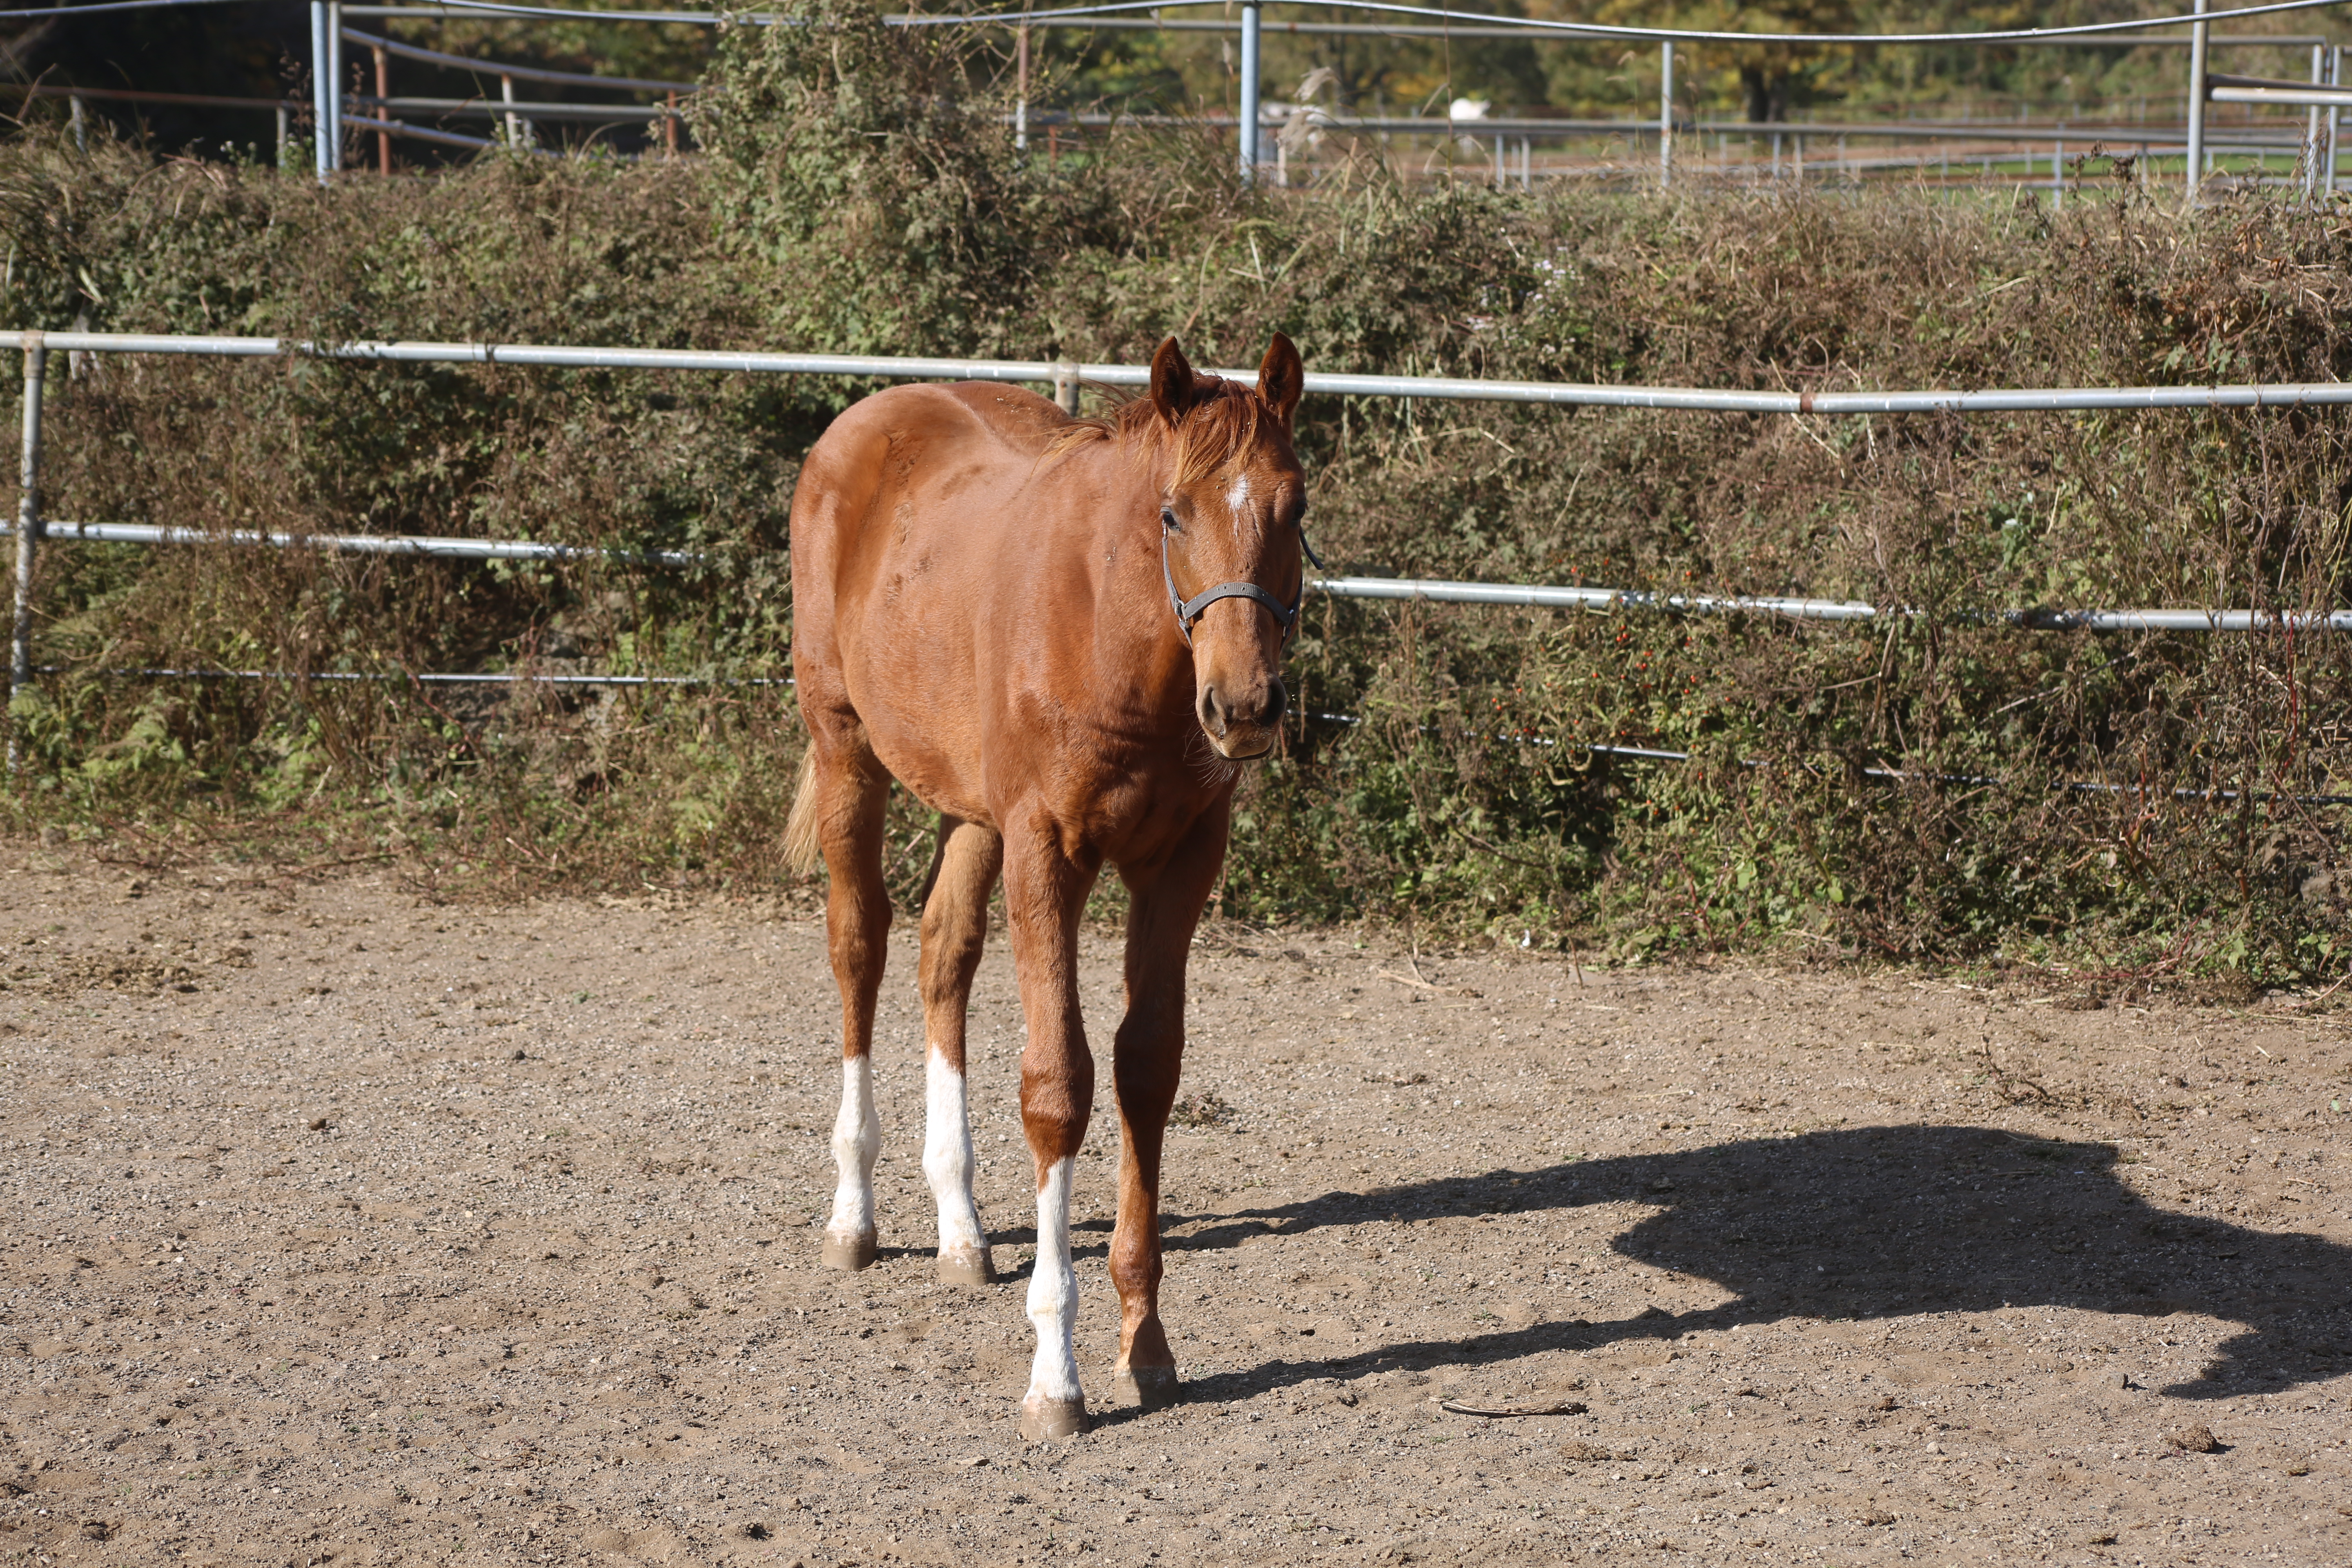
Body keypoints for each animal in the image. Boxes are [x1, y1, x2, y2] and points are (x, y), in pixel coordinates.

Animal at [785, 339, 1307, 1439]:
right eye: (1172, 512)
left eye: (1294, 505)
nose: (1243, 707)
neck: (1113, 633)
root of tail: (866, 420)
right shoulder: (1046, 853)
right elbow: (1057, 1088)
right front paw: (1055, 1373)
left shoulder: (1180, 862)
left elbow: (1146, 1069)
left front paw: (1145, 1342)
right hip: (846, 745)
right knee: (860, 947)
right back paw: (854, 1214)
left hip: (970, 809)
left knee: (943, 956)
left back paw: (961, 1229)